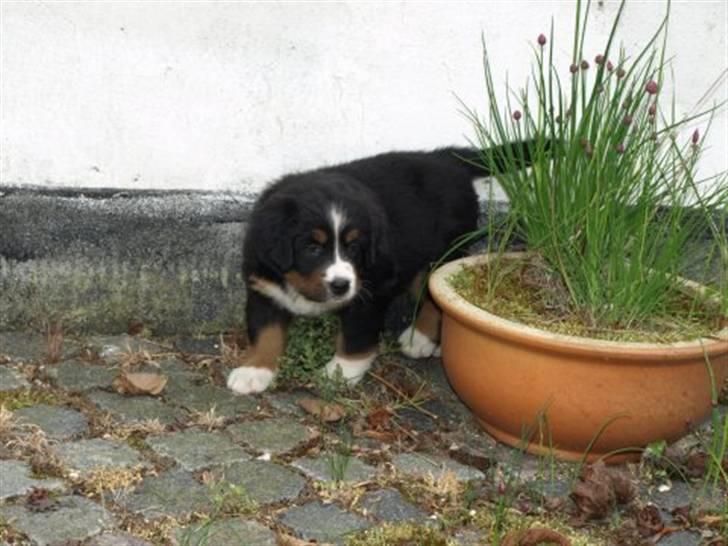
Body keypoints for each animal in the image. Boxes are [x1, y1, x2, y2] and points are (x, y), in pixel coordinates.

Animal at [228, 144, 524, 392]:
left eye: (354, 248)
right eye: (312, 248)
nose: (341, 285)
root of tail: (445, 158)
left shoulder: (369, 290)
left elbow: (355, 334)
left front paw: (341, 372)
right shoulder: (264, 287)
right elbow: (265, 332)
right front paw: (254, 371)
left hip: (439, 255)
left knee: (432, 296)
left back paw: (420, 339)